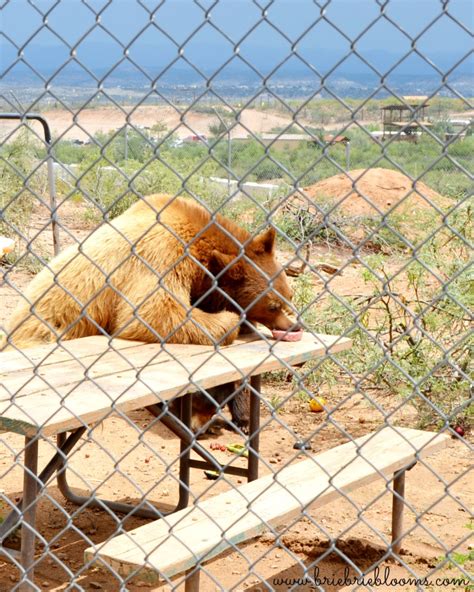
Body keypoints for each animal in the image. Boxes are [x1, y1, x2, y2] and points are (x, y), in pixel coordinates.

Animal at [4, 197, 300, 432]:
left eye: (289, 295)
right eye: (273, 305)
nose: (294, 327)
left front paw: (240, 415)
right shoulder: (161, 255)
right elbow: (155, 312)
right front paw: (230, 321)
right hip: (47, 328)